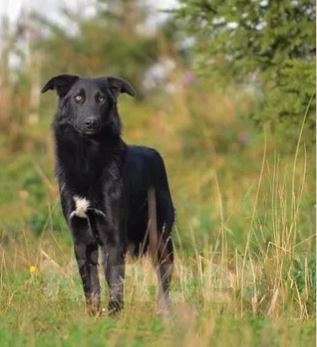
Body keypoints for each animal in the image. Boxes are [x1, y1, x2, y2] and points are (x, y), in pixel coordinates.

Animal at [41, 75, 174, 316]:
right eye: (78, 98)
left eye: (101, 99)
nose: (91, 122)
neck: (87, 158)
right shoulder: (82, 240)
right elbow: (91, 284)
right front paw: (94, 315)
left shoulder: (113, 237)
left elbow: (114, 279)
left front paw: (114, 314)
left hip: (160, 238)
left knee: (165, 279)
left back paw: (165, 312)